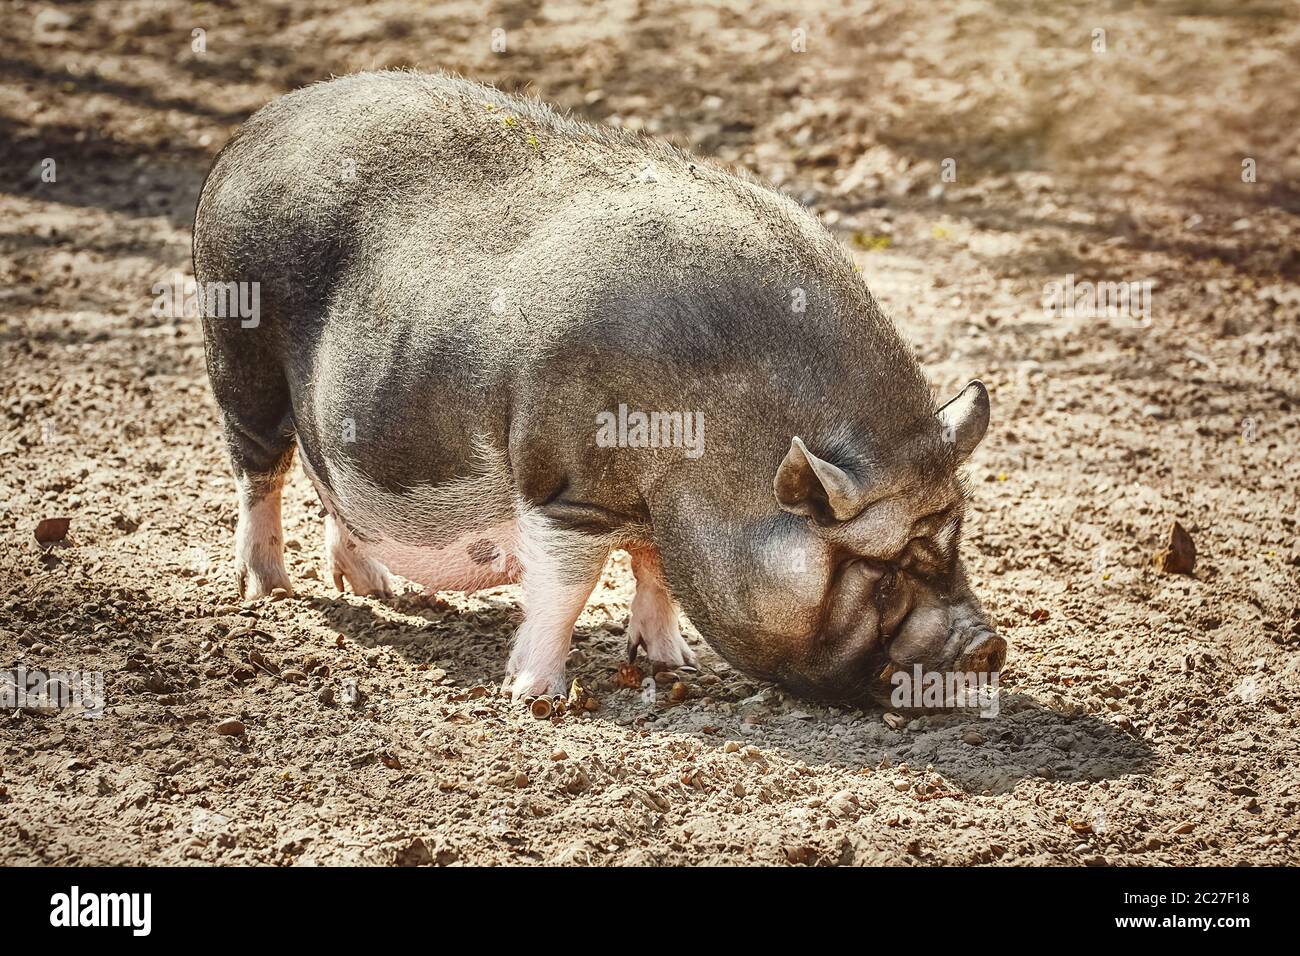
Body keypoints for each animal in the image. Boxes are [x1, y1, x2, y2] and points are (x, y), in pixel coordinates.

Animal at [192, 70, 1003, 707]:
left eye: (955, 540)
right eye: (883, 570)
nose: (989, 645)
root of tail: (253, 130)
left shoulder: (651, 512)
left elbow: (654, 573)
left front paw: (673, 663)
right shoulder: (566, 488)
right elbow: (566, 589)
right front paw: (536, 696)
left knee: (328, 477)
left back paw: (373, 588)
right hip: (237, 354)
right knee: (259, 470)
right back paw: (270, 592)